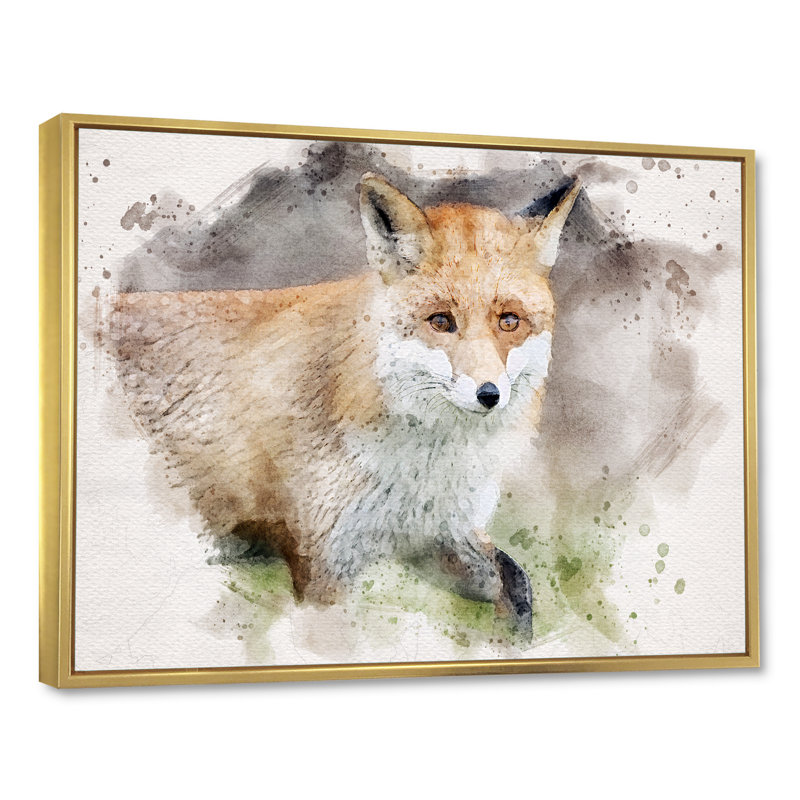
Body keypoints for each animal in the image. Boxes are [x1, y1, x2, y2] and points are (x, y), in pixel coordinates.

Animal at [107, 172, 582, 637]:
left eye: (509, 321)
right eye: (441, 321)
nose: (489, 394)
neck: (422, 470)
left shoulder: (435, 535)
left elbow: (515, 584)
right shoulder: (325, 560)